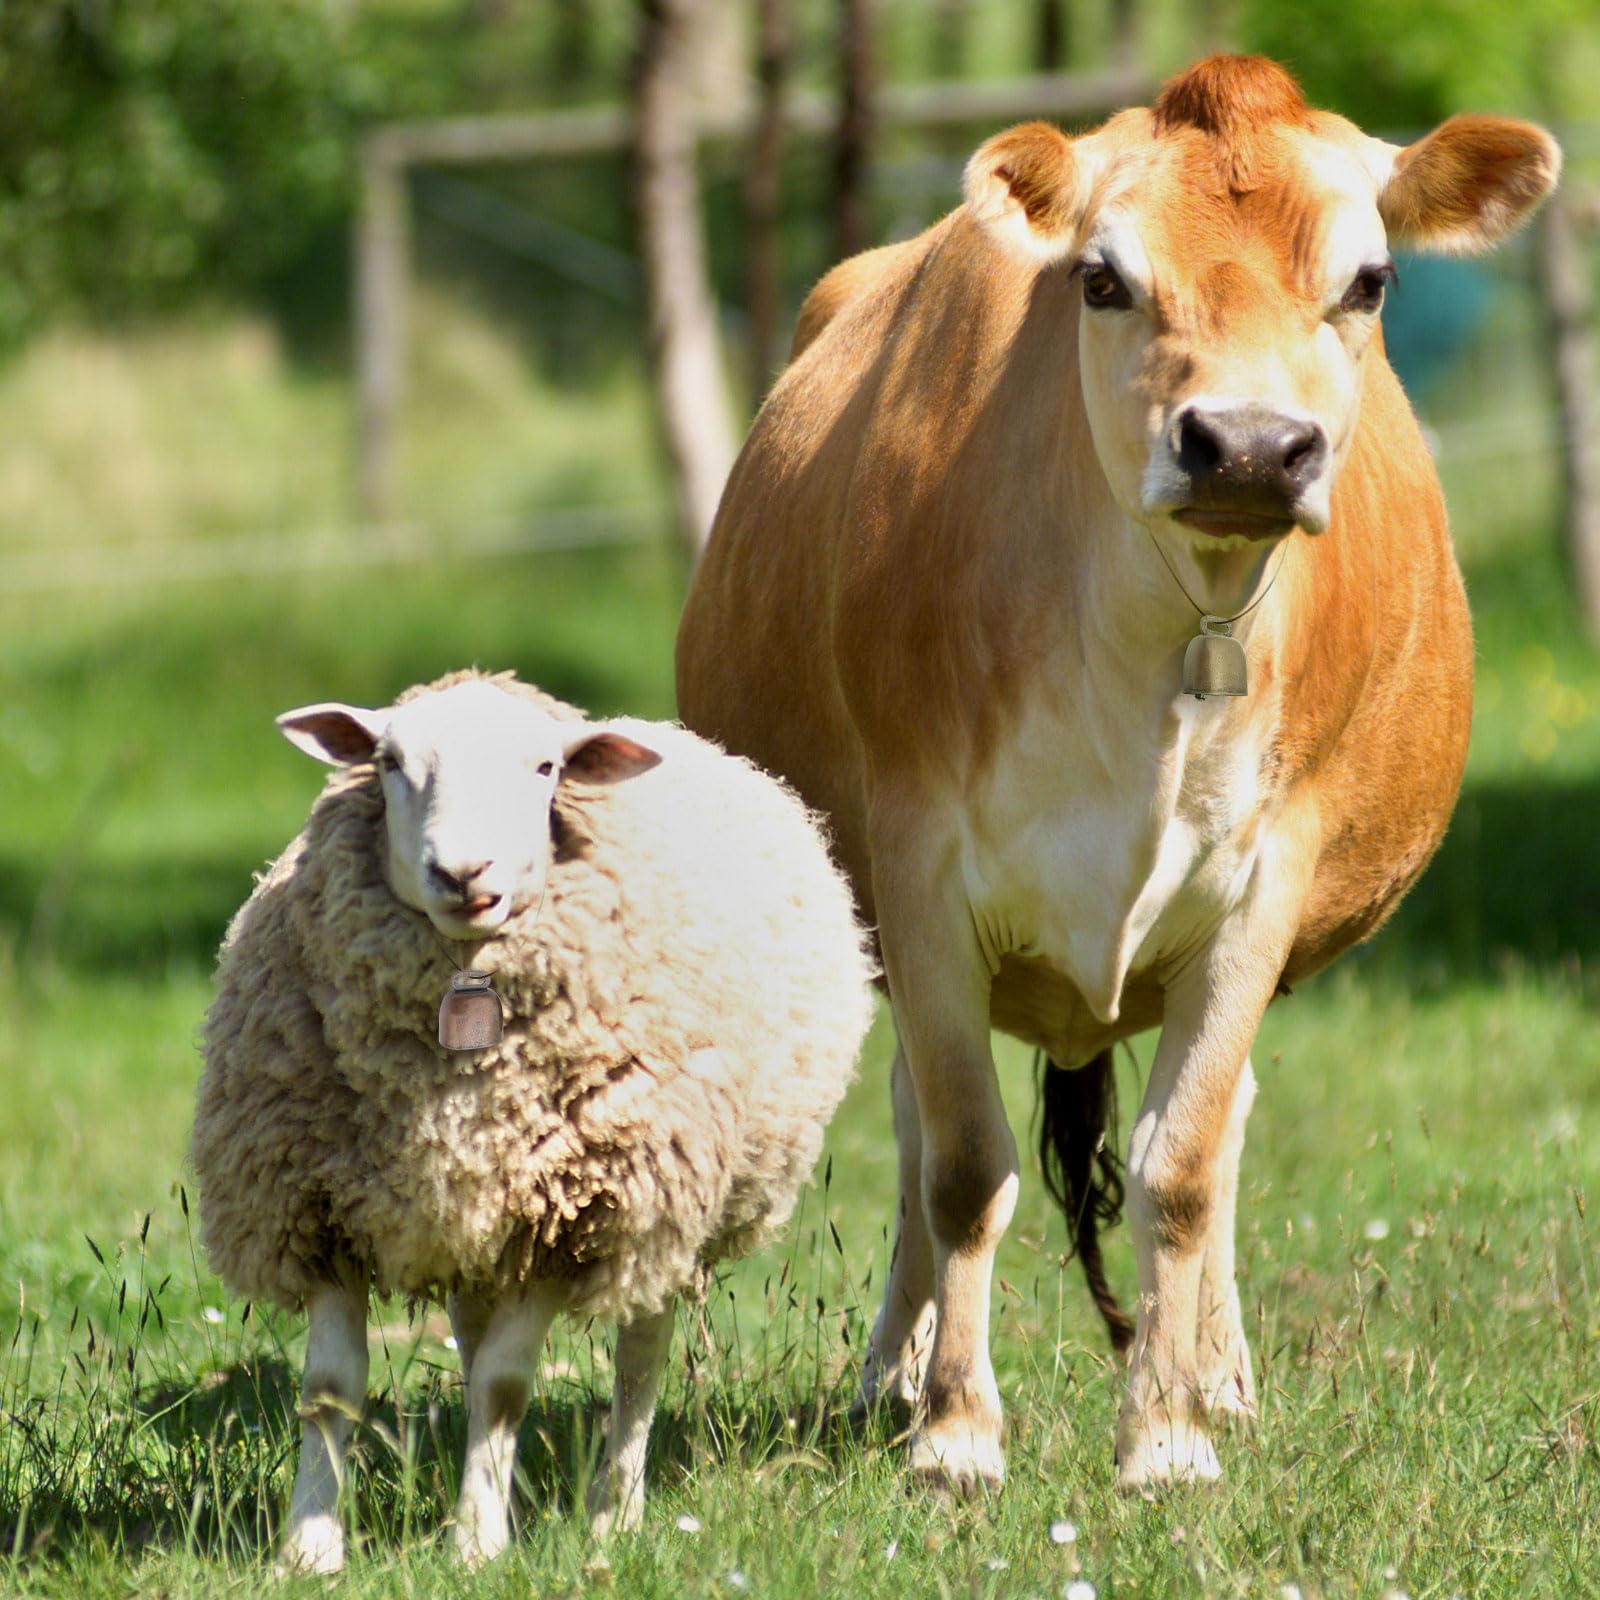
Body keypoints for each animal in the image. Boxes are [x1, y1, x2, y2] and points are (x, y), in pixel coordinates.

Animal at [190, 670, 875, 1573]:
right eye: (388, 761)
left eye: (547, 767)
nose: (461, 872)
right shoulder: (320, 1204)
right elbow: (330, 1389)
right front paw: (309, 1549)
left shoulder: (571, 1219)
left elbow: (506, 1386)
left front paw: (476, 1544)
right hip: (474, 1218)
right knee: (474, 1326)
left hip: (659, 1209)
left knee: (640, 1360)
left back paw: (615, 1514)